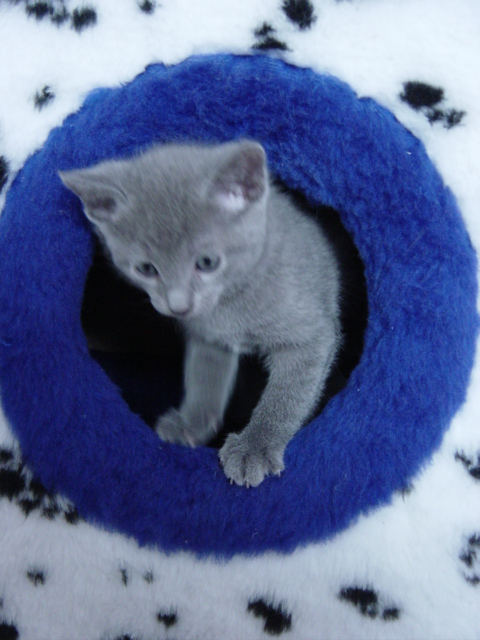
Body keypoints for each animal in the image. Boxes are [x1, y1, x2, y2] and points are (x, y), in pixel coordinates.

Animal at [59, 140, 342, 487]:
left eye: (207, 262)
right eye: (146, 269)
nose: (178, 305)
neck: (228, 303)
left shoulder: (310, 335)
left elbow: (287, 395)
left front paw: (255, 446)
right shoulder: (209, 338)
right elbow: (205, 377)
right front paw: (192, 423)